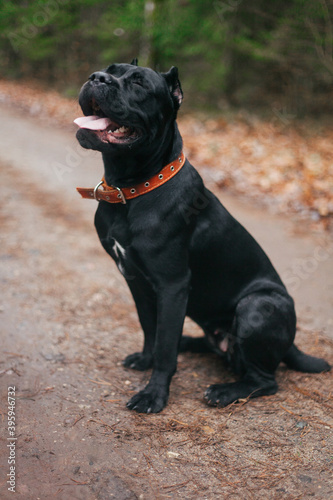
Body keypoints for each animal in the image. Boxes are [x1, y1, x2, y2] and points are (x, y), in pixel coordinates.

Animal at [74, 58, 330, 412]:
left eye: (139, 83)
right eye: (108, 69)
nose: (96, 77)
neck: (132, 188)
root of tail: (291, 344)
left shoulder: (172, 284)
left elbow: (165, 348)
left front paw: (154, 395)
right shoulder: (136, 281)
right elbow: (150, 329)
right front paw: (145, 359)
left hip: (257, 305)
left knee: (265, 380)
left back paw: (224, 391)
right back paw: (191, 343)